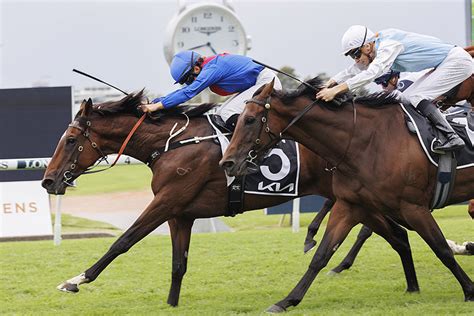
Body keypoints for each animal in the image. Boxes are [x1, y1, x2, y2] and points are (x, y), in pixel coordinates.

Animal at [40, 92, 418, 308]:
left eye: (71, 140)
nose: (48, 179)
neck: (170, 144)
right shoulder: (181, 214)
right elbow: (178, 264)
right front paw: (172, 304)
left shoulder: (167, 201)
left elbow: (123, 241)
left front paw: (75, 280)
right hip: (359, 201)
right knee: (398, 235)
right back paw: (412, 287)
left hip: (357, 200)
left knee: (396, 232)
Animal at [219, 78, 474, 312]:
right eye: (237, 119)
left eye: (250, 119)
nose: (227, 163)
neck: (367, 141)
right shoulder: (351, 205)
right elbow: (321, 255)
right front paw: (287, 300)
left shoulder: (413, 206)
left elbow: (441, 249)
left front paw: (469, 289)